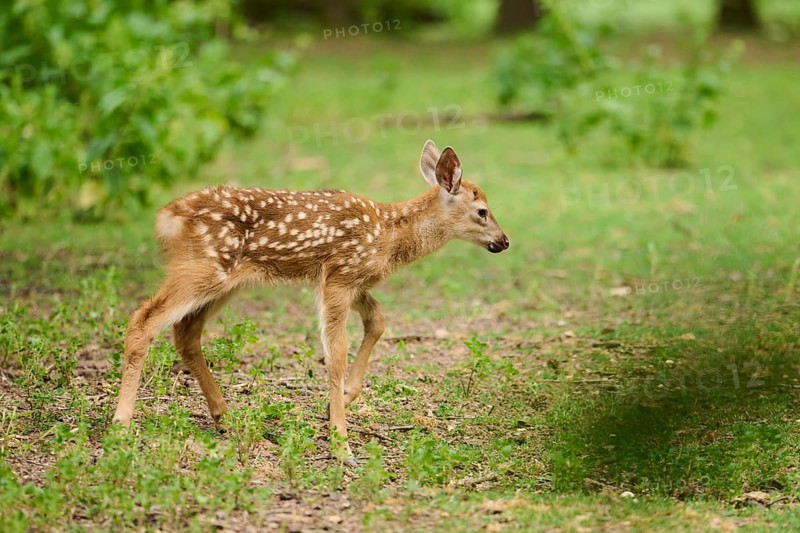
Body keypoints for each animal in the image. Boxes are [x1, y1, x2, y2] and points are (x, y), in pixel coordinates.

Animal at [112, 139, 509, 464]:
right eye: (482, 211)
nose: (504, 241)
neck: (387, 235)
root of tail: (166, 217)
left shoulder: (352, 281)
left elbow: (378, 320)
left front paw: (343, 400)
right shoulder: (339, 275)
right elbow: (335, 354)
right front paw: (342, 445)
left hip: (224, 283)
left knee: (185, 332)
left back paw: (226, 419)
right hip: (204, 267)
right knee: (144, 318)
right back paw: (121, 423)